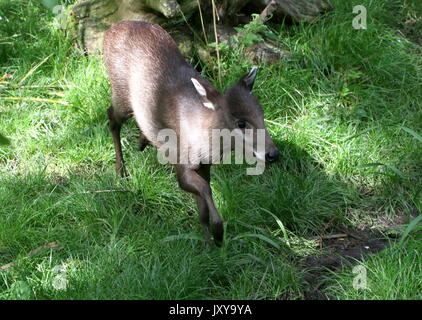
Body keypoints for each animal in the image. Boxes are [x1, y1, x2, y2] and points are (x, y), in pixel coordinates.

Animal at [103, 21, 278, 246]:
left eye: (262, 114)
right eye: (240, 122)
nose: (273, 154)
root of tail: (110, 30)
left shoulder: (204, 165)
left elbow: (202, 205)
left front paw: (208, 241)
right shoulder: (182, 160)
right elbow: (204, 189)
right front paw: (218, 233)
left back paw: (142, 143)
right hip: (121, 92)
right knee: (112, 118)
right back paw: (121, 171)